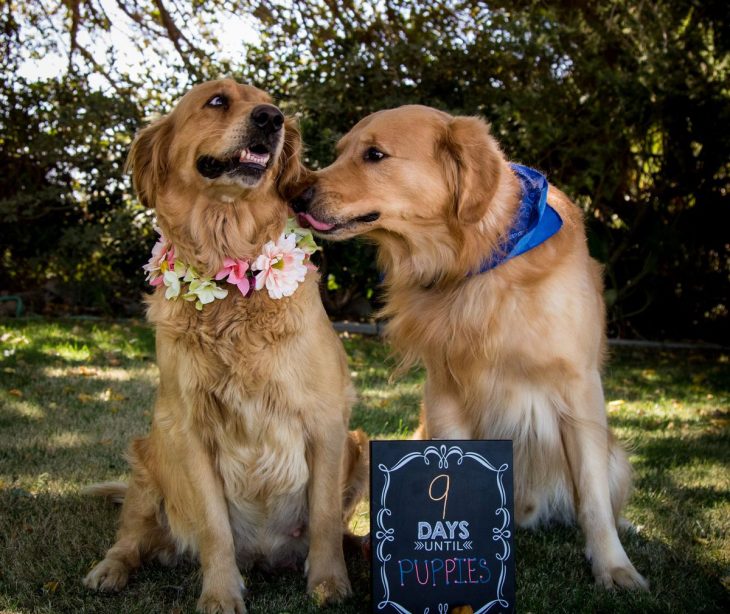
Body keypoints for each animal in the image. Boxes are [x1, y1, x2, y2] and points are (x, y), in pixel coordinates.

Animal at [82, 79, 366, 612]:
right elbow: (214, 529)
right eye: (217, 100)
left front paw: (329, 585)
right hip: (149, 457)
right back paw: (109, 570)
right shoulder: (188, 428)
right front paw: (219, 594)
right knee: (130, 537)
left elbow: (323, 518)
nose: (270, 119)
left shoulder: (326, 421)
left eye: (274, 106)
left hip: (360, 446)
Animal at [290, 104, 644, 592]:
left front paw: (614, 566)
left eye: (374, 154)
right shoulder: (444, 391)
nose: (296, 196)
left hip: (616, 456)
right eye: (340, 152)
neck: (475, 261)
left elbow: (592, 497)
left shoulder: (579, 388)